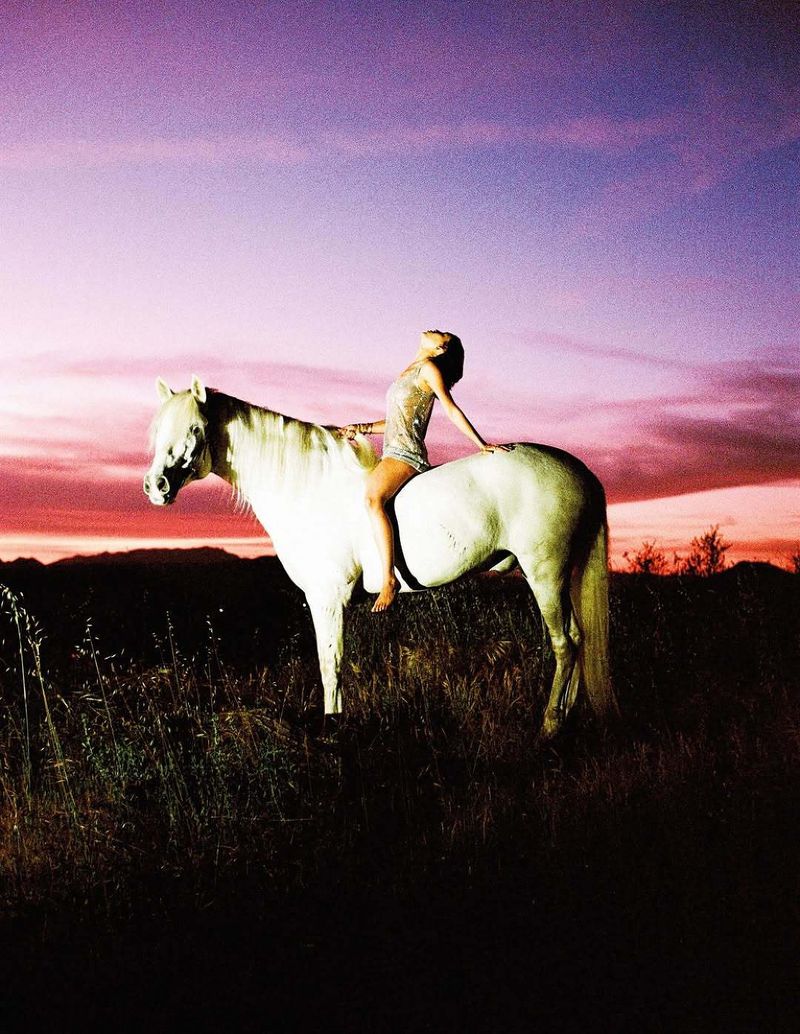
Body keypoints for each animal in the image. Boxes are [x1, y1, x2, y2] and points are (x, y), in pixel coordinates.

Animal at [144, 376, 616, 739]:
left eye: (195, 428)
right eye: (157, 430)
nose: (155, 486)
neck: (307, 486)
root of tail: (580, 471)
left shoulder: (327, 599)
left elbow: (330, 664)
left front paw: (333, 729)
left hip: (546, 574)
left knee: (565, 643)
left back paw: (550, 727)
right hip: (565, 574)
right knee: (579, 638)